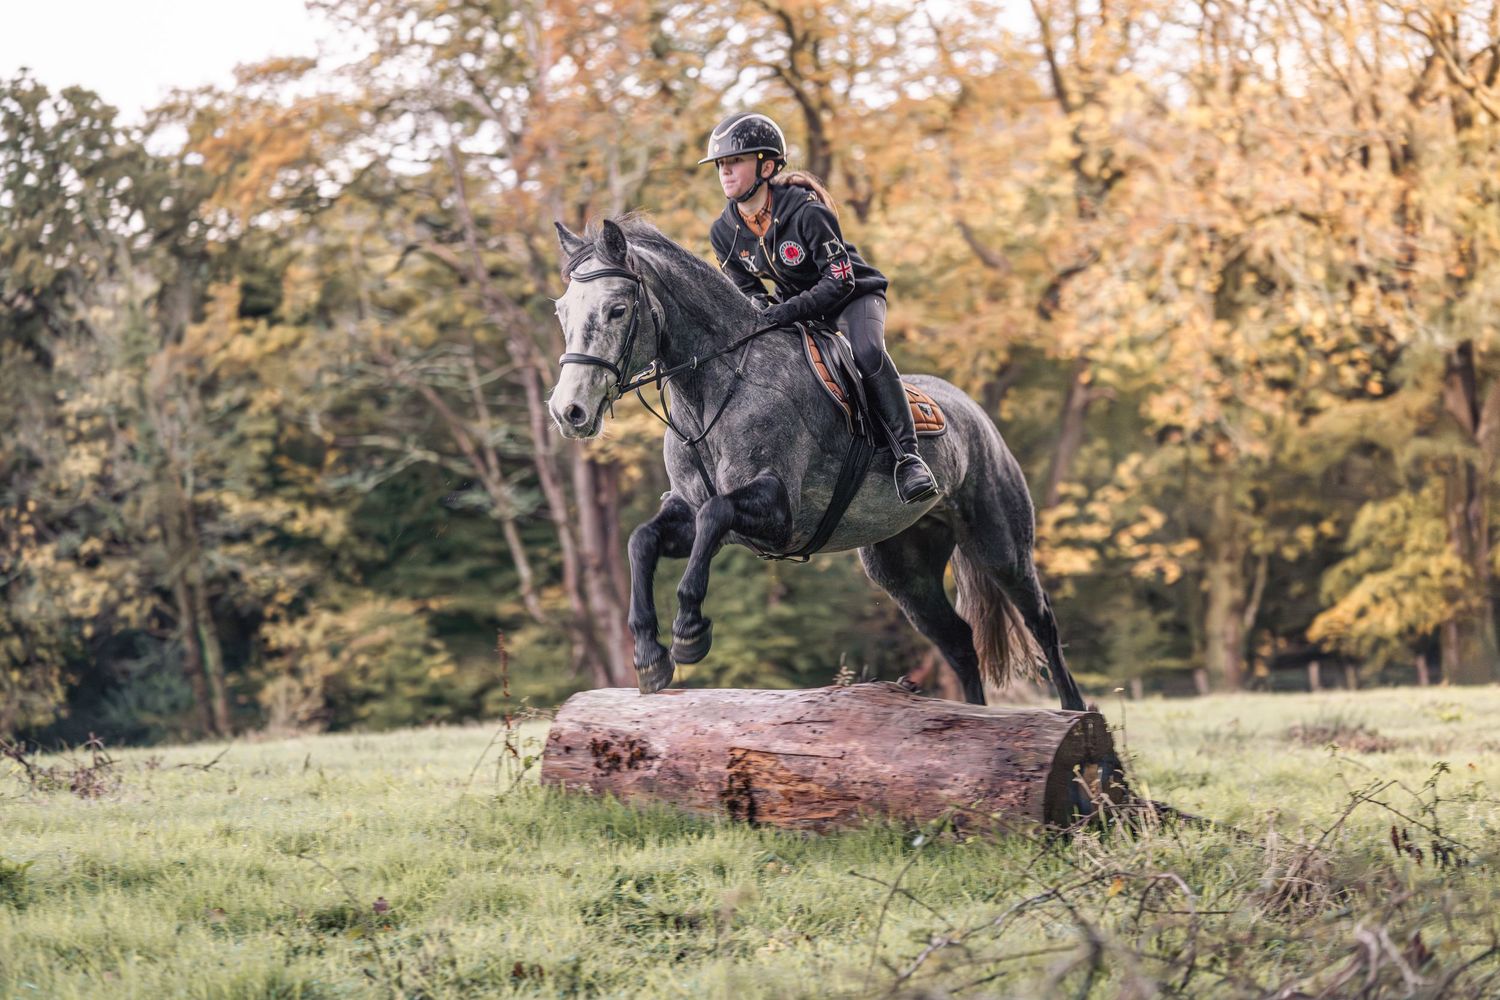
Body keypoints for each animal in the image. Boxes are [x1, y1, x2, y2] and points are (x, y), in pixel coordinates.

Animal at [547, 217, 1085, 712]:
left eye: (617, 309)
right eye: (561, 310)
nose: (568, 412)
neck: (713, 387)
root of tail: (974, 411)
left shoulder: (778, 510)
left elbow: (715, 514)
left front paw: (689, 632)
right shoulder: (688, 510)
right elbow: (643, 540)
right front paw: (649, 656)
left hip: (1000, 544)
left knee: (1042, 622)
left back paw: (1077, 721)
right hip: (903, 568)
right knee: (958, 641)